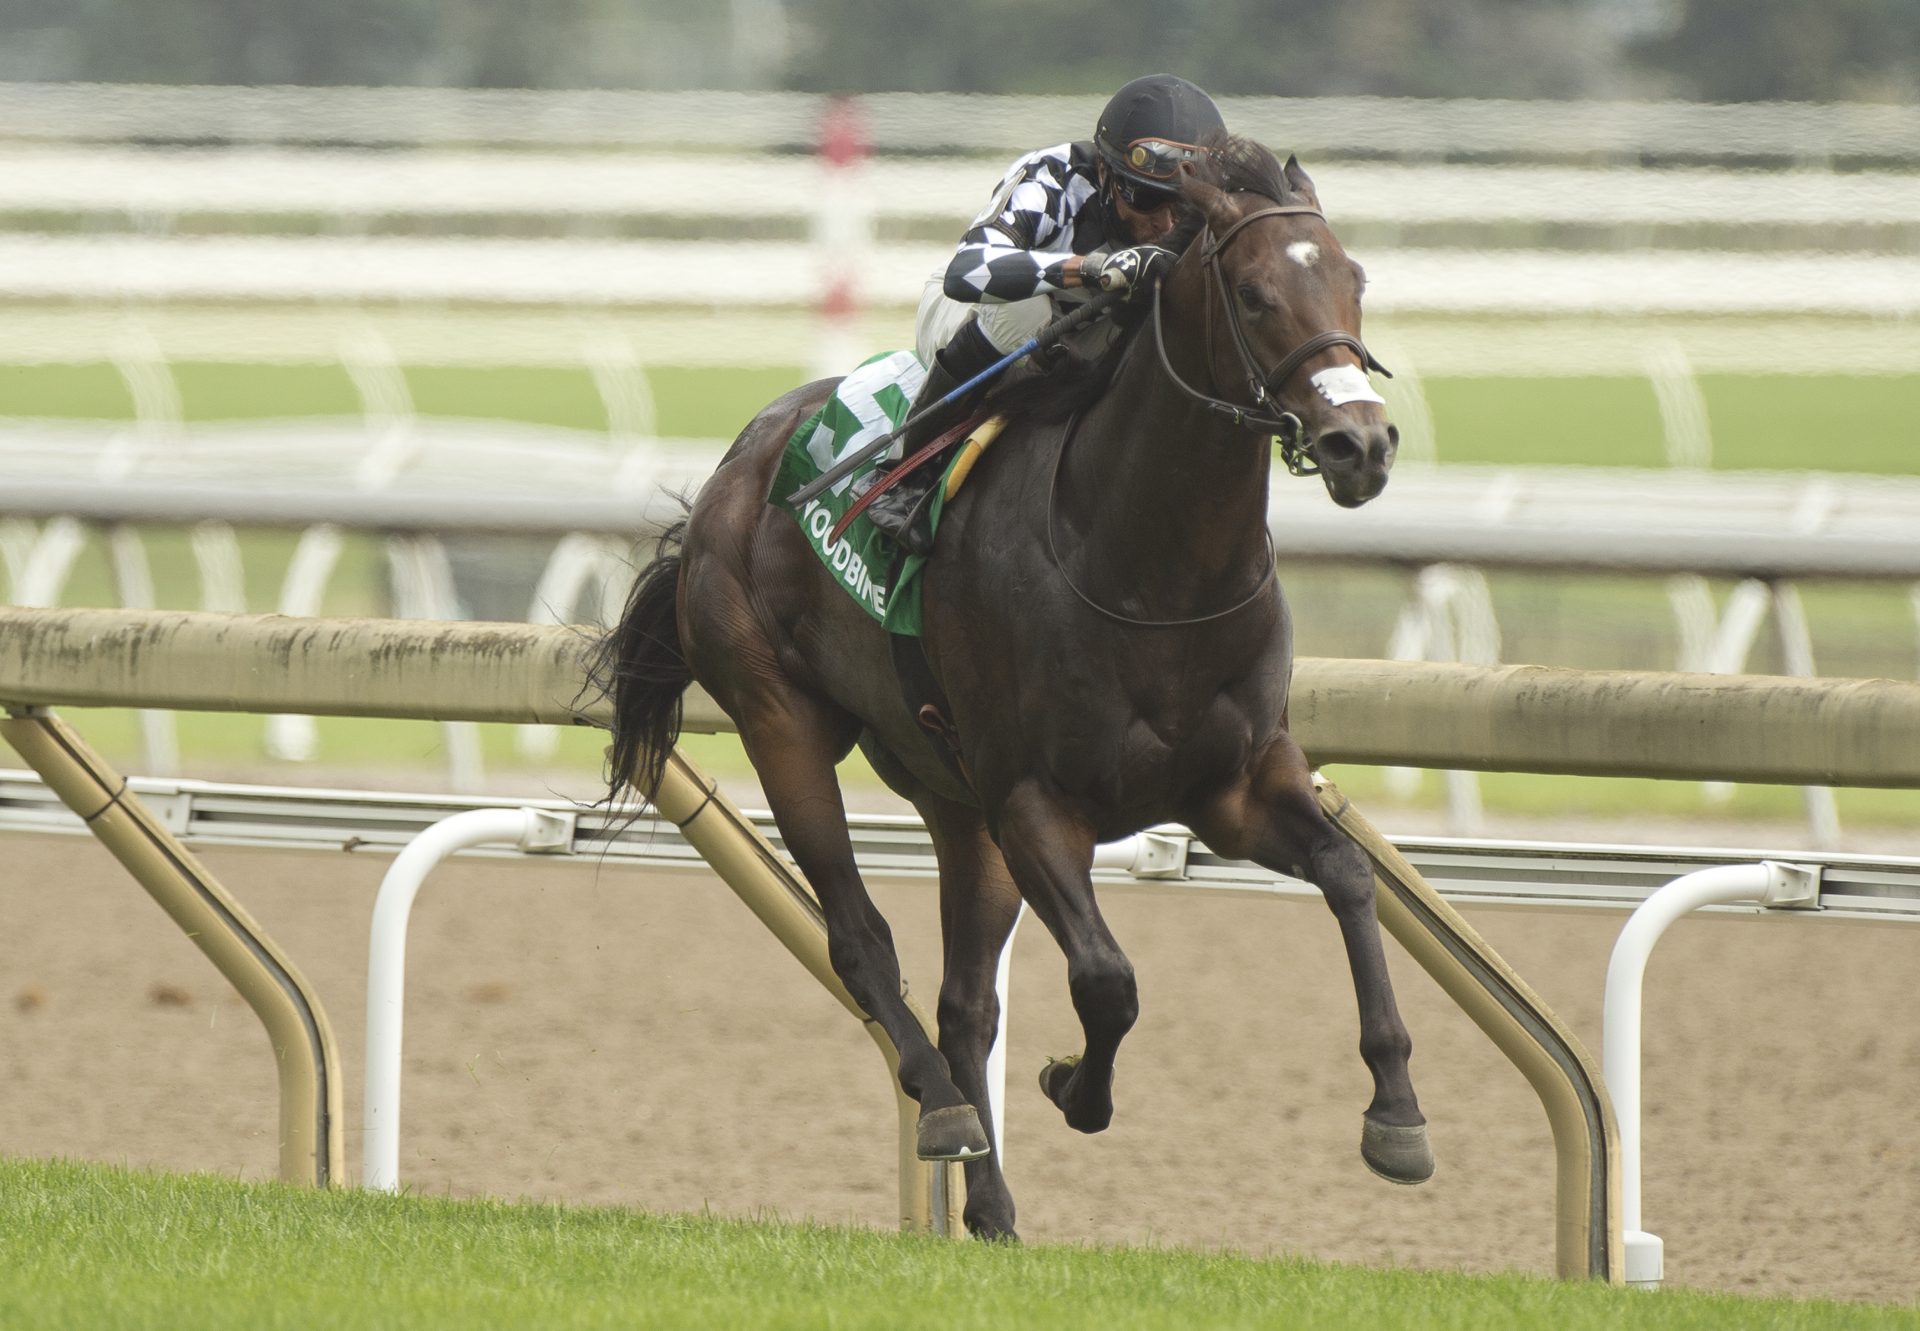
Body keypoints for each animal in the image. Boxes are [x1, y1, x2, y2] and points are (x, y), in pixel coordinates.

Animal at [595, 135, 1428, 1236]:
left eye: (1353, 280)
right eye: (1253, 294)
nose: (1359, 445)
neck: (1151, 570)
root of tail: (730, 473)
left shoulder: (1234, 785)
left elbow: (1349, 875)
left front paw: (1398, 1111)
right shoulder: (1037, 800)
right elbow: (1108, 980)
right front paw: (1076, 1086)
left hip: (955, 797)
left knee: (965, 1002)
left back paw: (988, 1202)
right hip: (783, 721)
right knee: (861, 941)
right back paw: (946, 1109)